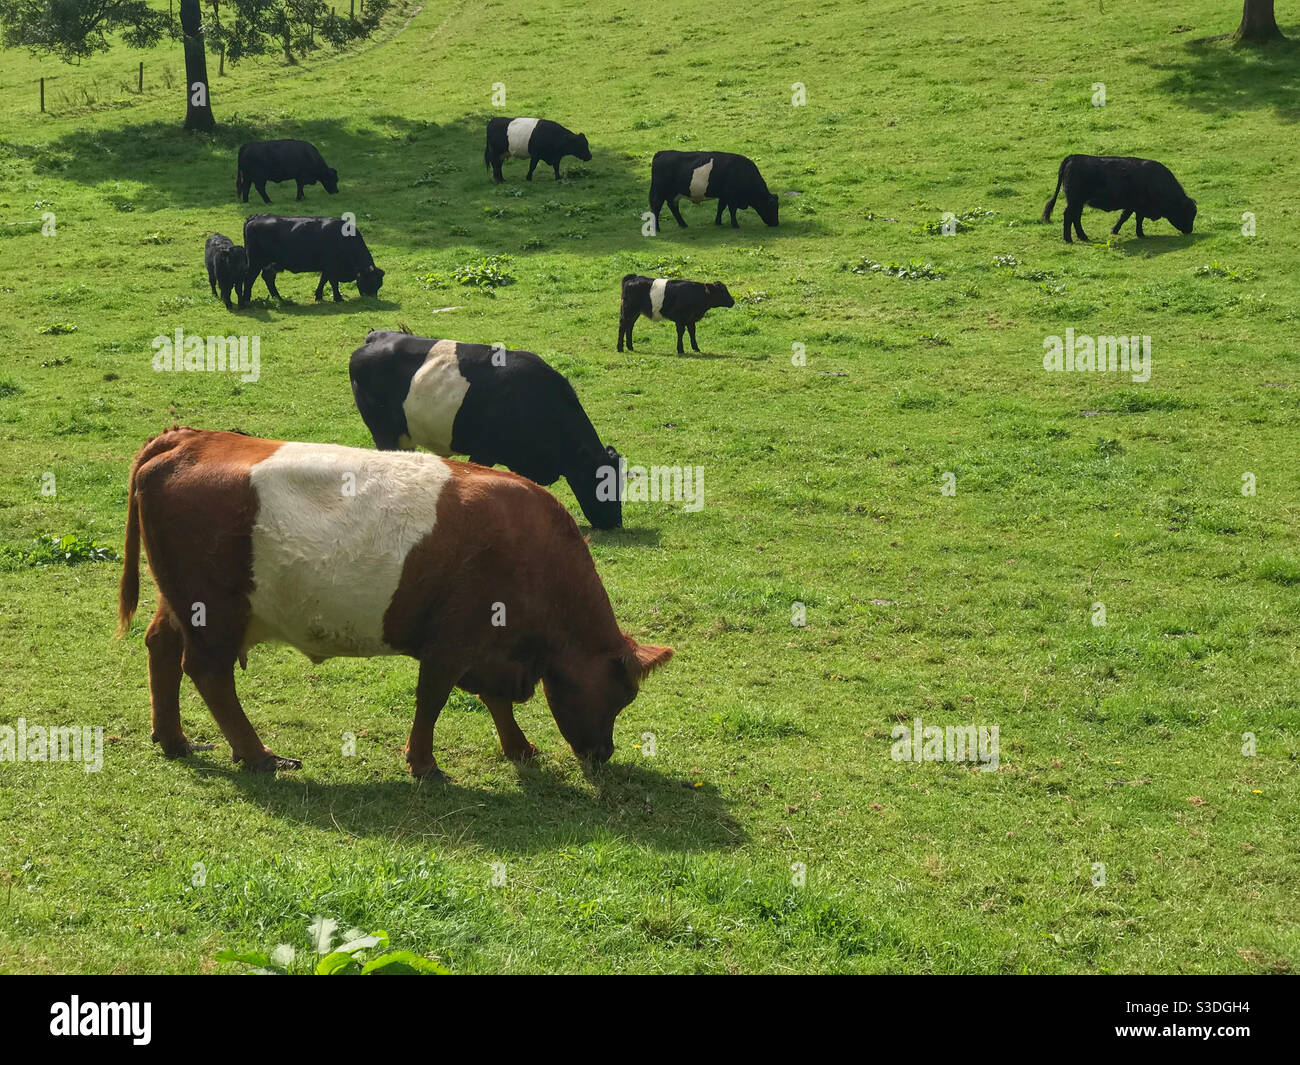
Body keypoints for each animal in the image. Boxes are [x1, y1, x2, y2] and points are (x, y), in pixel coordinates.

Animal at [116, 429, 676, 780]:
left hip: (180, 602)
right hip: (212, 611)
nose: (603, 754)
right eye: (620, 694)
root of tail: (187, 437)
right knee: (208, 673)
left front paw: (519, 747)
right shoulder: (453, 642)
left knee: (160, 647)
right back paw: (258, 755)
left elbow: (494, 699)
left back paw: (174, 739)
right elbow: (432, 700)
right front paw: (424, 764)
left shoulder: (489, 649)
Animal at [244, 213, 382, 304]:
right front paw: (338, 298)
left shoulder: (326, 267)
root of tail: (255, 217)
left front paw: (319, 296)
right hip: (255, 262)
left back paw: (278, 298)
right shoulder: (331, 266)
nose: (372, 299)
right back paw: (246, 300)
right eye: (370, 281)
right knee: (249, 278)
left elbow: (323, 280)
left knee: (268, 277)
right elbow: (333, 282)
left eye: (379, 284)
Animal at [650, 148, 780, 230]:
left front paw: (718, 222)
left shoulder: (724, 195)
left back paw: (683, 224)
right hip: (660, 191)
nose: (776, 223)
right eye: (772, 206)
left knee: (673, 206)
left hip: (673, 193)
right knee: (656, 207)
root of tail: (661, 153)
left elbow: (720, 208)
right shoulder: (732, 196)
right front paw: (735, 225)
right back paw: (657, 229)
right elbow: (732, 210)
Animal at [1045, 152, 1196, 243]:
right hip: (1075, 201)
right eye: (1187, 213)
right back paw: (1068, 239)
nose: (1189, 230)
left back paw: (1083, 237)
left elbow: (1133, 218)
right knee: (1069, 215)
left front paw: (1136, 233)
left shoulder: (1135, 205)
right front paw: (1131, 232)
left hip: (1079, 202)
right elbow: (1128, 217)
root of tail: (1073, 157)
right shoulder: (1136, 204)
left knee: (1076, 217)